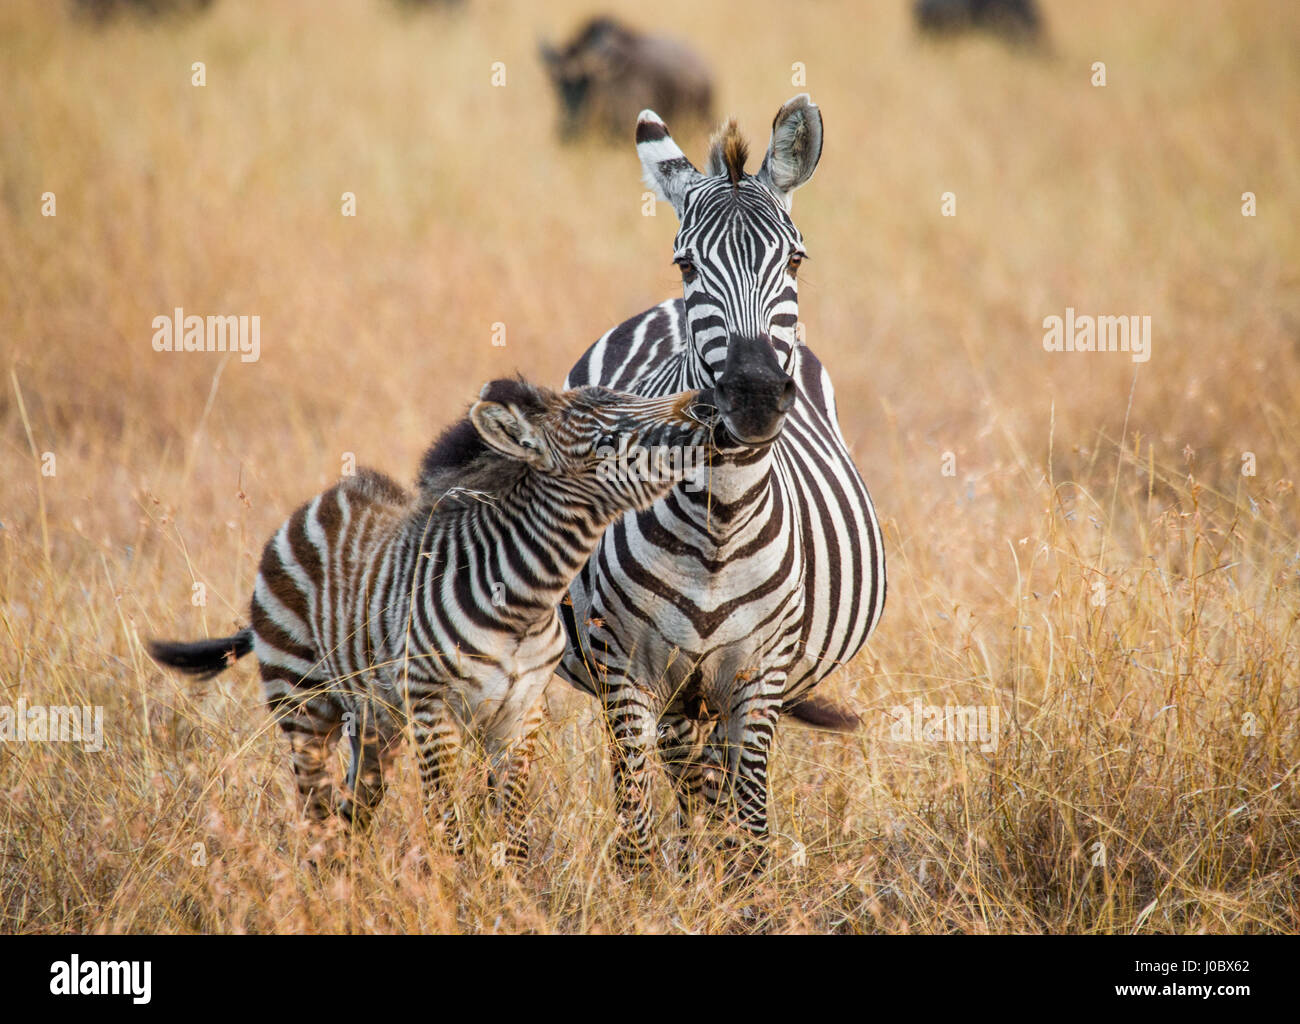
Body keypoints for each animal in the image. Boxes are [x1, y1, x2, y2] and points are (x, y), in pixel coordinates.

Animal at [154, 379, 722, 857]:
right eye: (606, 441)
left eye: (628, 396)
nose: (705, 405)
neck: (524, 602)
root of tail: (321, 501)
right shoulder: (433, 710)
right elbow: (450, 826)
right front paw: (463, 894)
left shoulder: (523, 712)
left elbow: (514, 830)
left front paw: (509, 893)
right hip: (303, 703)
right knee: (316, 814)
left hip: (374, 720)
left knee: (353, 811)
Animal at [553, 96, 889, 868]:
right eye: (686, 264)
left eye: (795, 258)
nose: (755, 394)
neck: (719, 518)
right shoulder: (626, 670)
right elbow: (636, 828)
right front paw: (658, 885)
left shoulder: (757, 678)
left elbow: (754, 827)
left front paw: (738, 885)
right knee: (686, 773)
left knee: (710, 777)